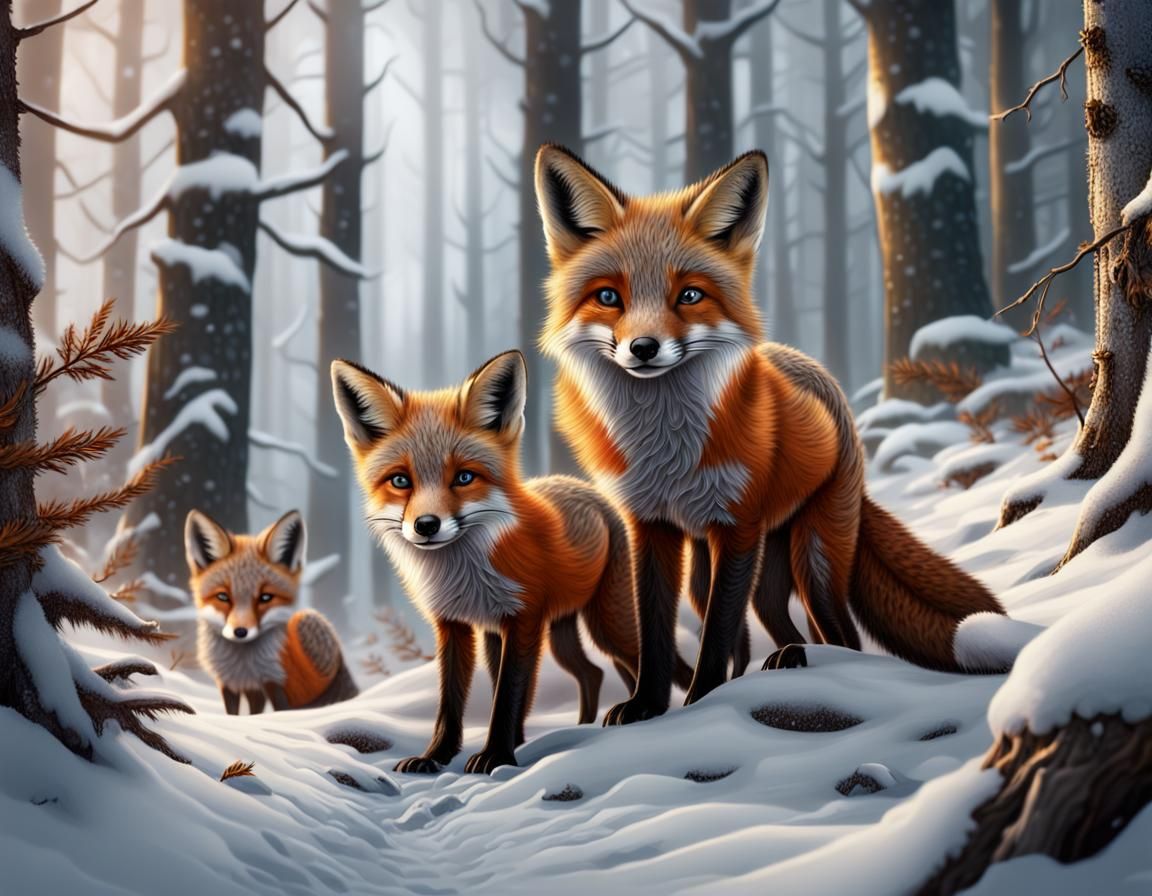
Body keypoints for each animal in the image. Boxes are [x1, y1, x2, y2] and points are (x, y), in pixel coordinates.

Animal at [185, 509, 360, 714]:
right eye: (223, 596)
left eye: (265, 597)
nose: (240, 632)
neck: (242, 667)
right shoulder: (231, 685)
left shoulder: (274, 682)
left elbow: (275, 711)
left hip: (305, 620)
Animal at [331, 350, 647, 775]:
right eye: (400, 481)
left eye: (464, 477)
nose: (426, 525)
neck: (463, 575)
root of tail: (585, 488)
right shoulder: (454, 625)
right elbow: (450, 702)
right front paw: (436, 756)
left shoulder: (523, 621)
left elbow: (508, 695)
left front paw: (497, 755)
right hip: (557, 632)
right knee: (593, 672)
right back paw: (585, 726)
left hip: (604, 624)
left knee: (637, 659)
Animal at [534, 143, 1009, 726]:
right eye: (608, 297)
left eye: (688, 295)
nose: (643, 348)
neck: (665, 448)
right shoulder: (651, 526)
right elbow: (655, 632)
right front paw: (647, 706)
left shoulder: (737, 528)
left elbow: (716, 635)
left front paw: (700, 703)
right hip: (747, 569)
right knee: (778, 623)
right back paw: (788, 659)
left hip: (814, 556)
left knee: (842, 632)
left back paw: (816, 663)